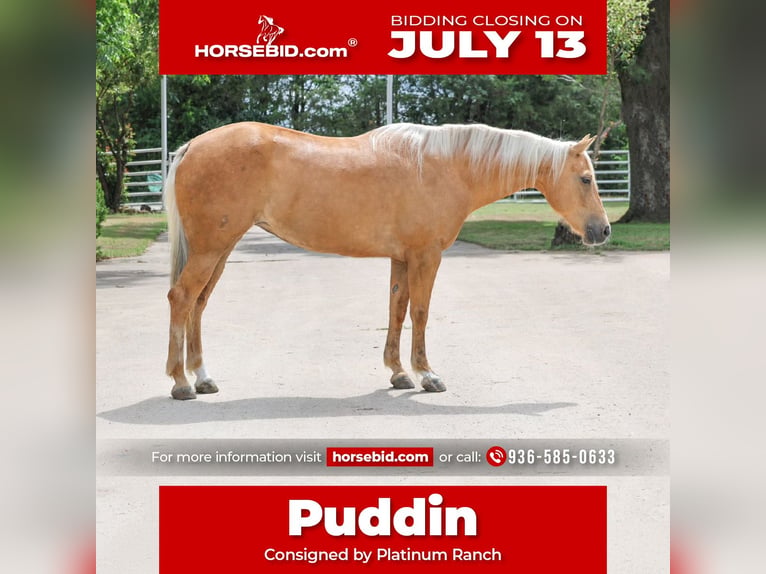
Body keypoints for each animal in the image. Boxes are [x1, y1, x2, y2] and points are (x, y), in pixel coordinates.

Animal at [163, 122, 610, 400]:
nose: (603, 231)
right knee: (181, 299)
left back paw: (203, 378)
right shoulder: (427, 256)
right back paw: (181, 382)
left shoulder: (402, 258)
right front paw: (427, 374)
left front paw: (398, 373)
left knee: (198, 305)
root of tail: (191, 147)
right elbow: (421, 312)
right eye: (586, 178)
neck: (445, 167)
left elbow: (397, 308)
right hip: (210, 248)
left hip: (220, 250)